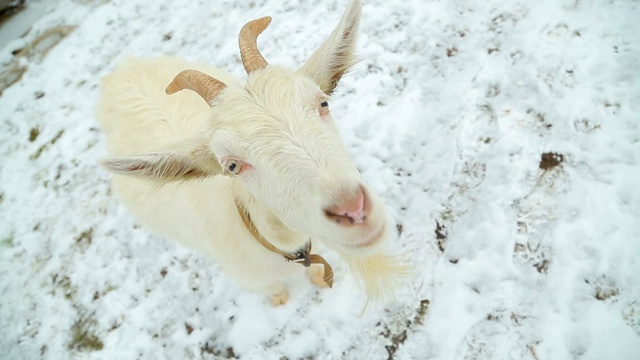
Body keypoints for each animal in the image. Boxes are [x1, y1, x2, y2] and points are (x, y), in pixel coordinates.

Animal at [97, 0, 408, 306]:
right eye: (232, 165)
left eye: (323, 103)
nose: (353, 210)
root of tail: (120, 70)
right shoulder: (251, 278)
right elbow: (274, 290)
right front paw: (280, 301)